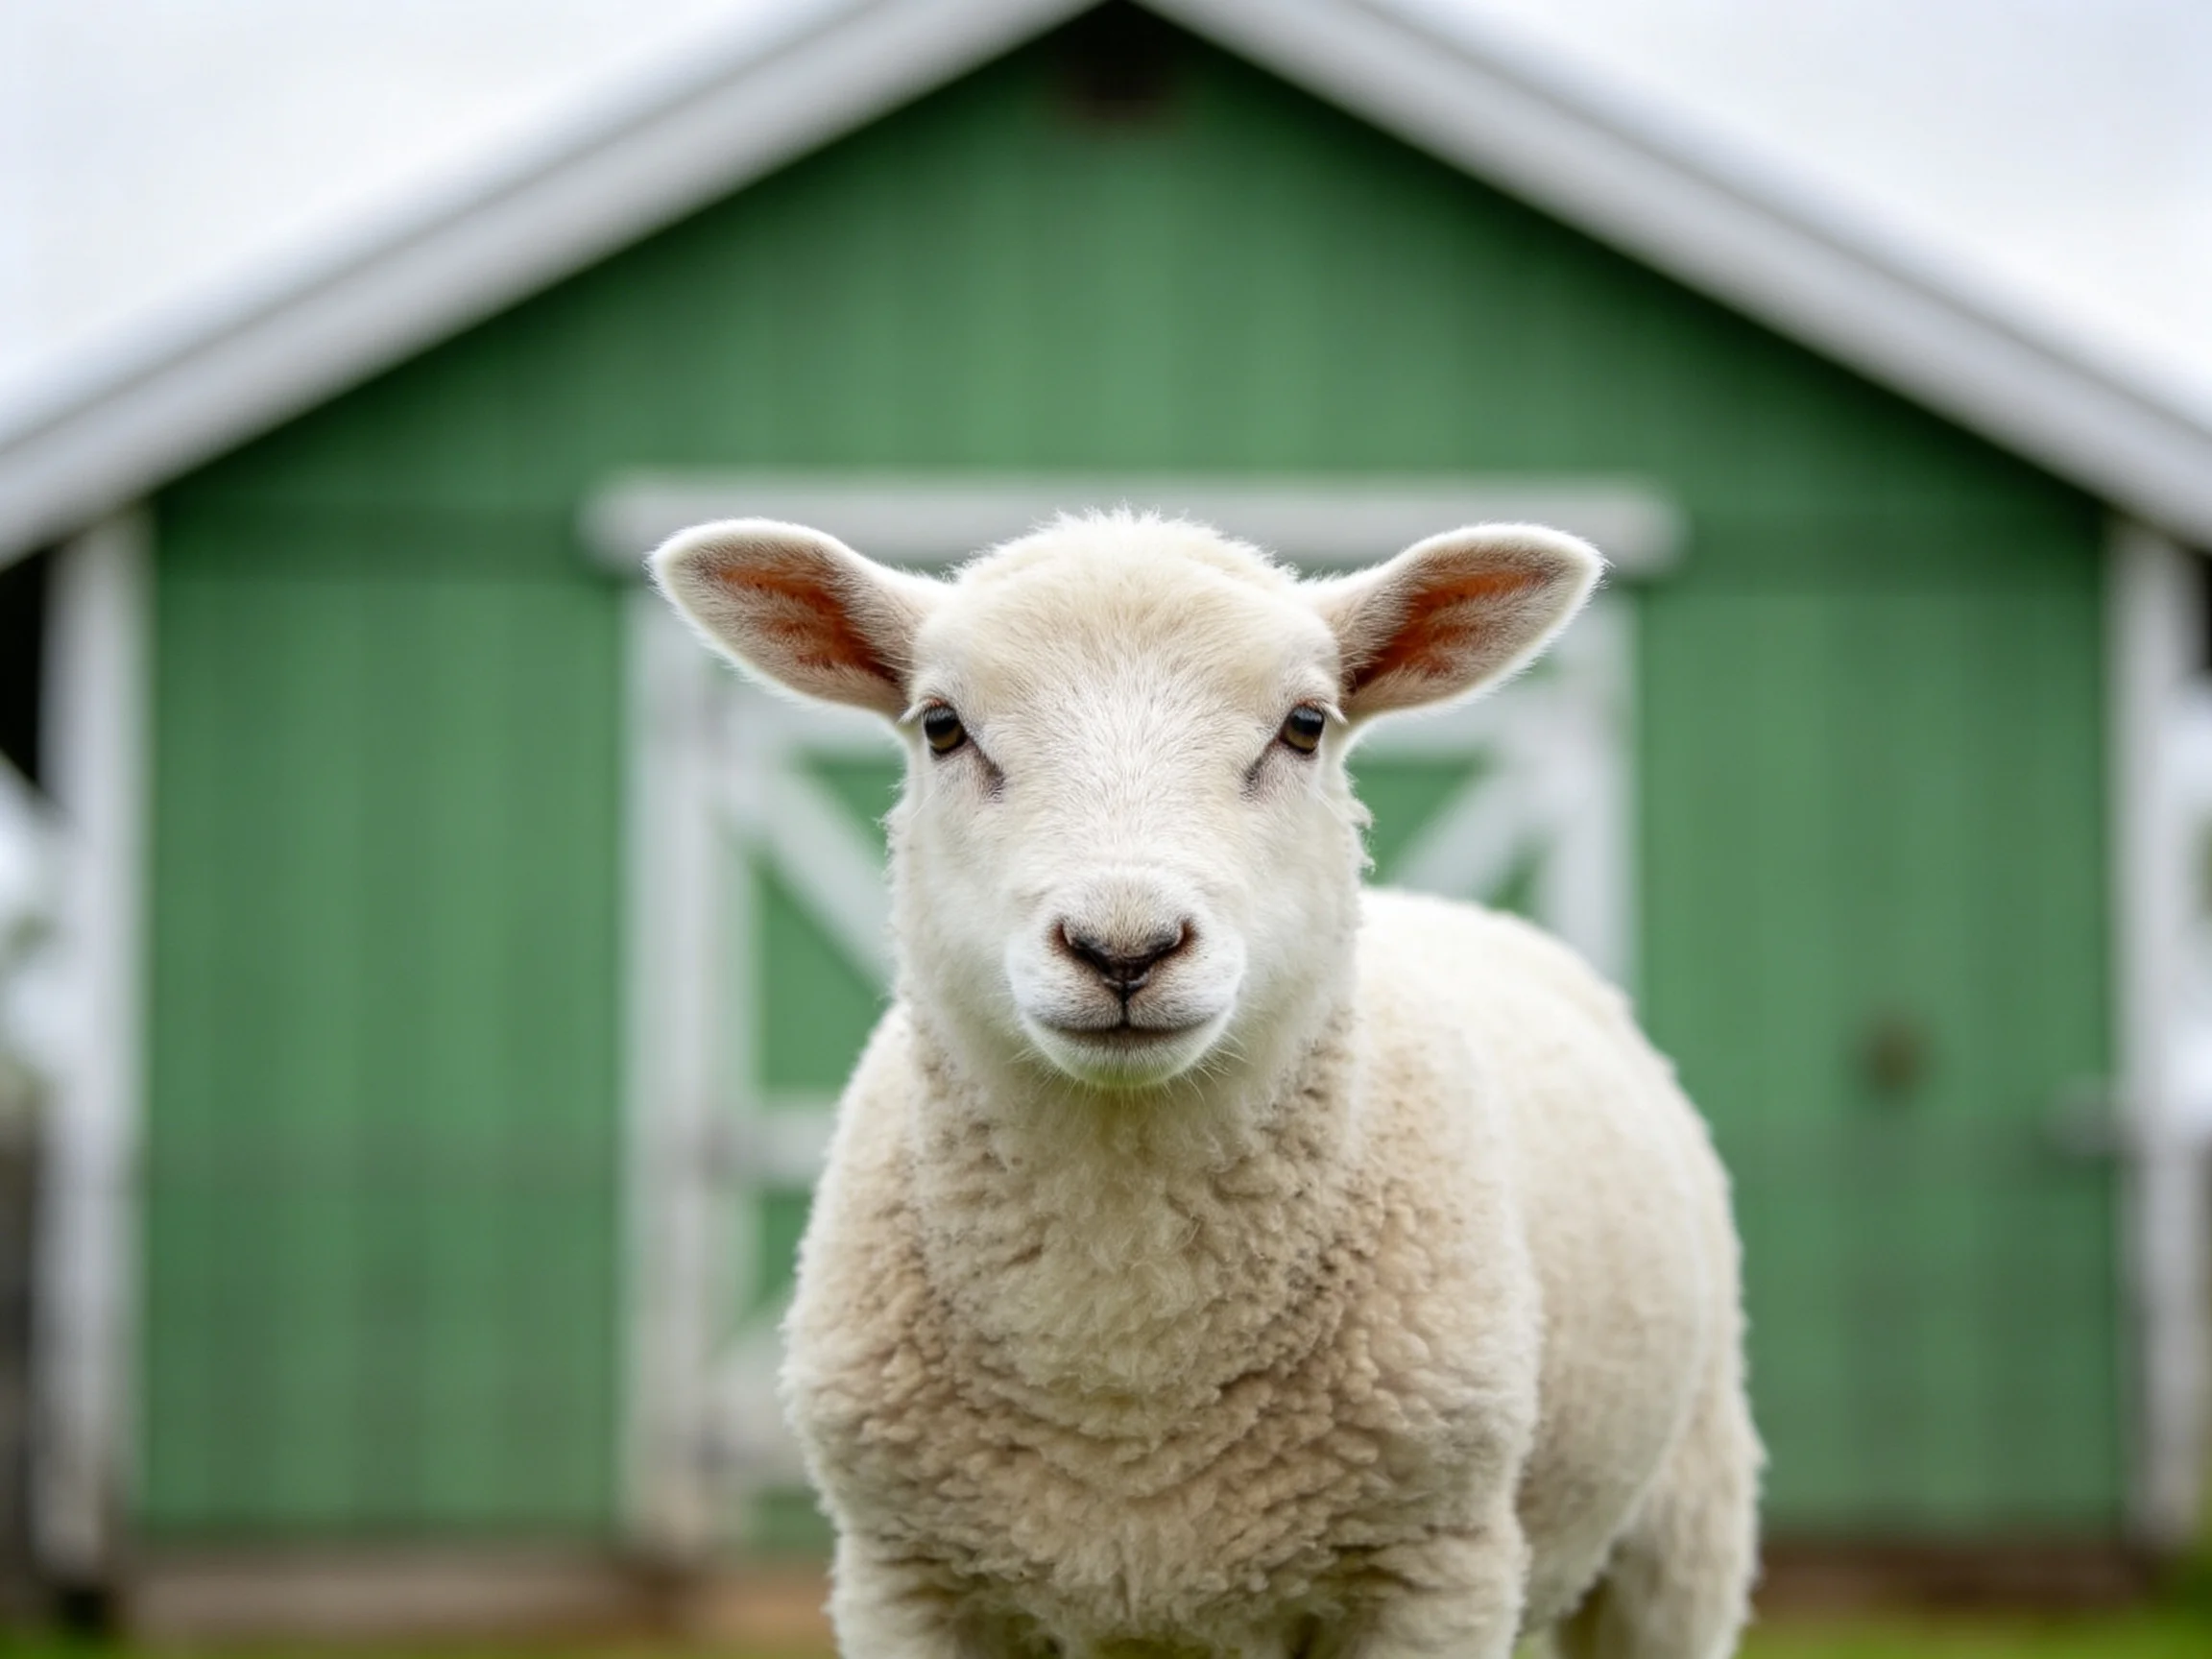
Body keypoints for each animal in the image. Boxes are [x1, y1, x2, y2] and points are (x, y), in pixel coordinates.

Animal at [652, 510, 1761, 1659]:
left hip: (1685, 1515)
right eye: (943, 727)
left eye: (1306, 725)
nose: (1124, 947)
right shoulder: (908, 1578)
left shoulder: (1432, 1571)